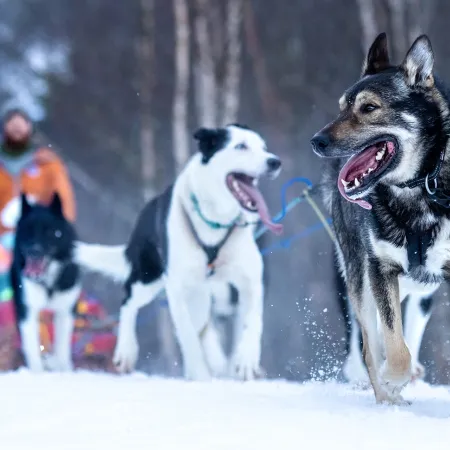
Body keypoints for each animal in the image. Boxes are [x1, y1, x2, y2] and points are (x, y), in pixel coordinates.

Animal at [12, 193, 81, 372]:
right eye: (28, 231)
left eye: (50, 233)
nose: (34, 251)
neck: (48, 283)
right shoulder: (27, 309)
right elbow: (31, 344)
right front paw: (37, 372)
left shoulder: (66, 310)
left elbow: (62, 345)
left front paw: (63, 369)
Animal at [75, 125, 284, 382]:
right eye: (241, 146)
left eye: (264, 148)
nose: (274, 161)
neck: (215, 223)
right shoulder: (177, 290)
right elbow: (187, 336)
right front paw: (200, 374)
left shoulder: (251, 280)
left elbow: (252, 321)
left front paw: (245, 360)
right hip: (148, 278)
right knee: (128, 303)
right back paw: (126, 351)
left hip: (204, 296)